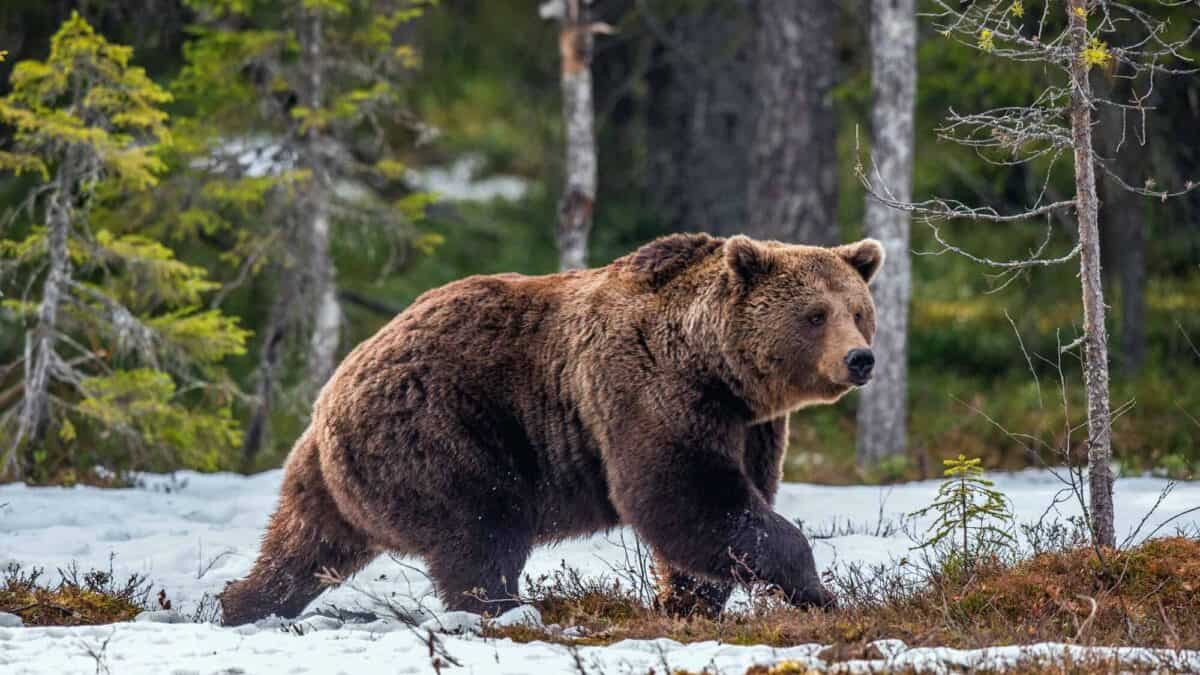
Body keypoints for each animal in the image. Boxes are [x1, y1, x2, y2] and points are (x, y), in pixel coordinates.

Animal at [219, 233, 885, 625]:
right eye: (815, 314)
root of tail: (335, 385)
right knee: (482, 530)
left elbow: (723, 510)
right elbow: (685, 498)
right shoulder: (650, 393)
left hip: (329, 472)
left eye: (859, 311)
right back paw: (506, 610)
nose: (860, 359)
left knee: (304, 543)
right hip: (444, 432)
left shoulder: (750, 427)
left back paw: (241, 603)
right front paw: (818, 590)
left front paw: (686, 601)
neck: (717, 368)